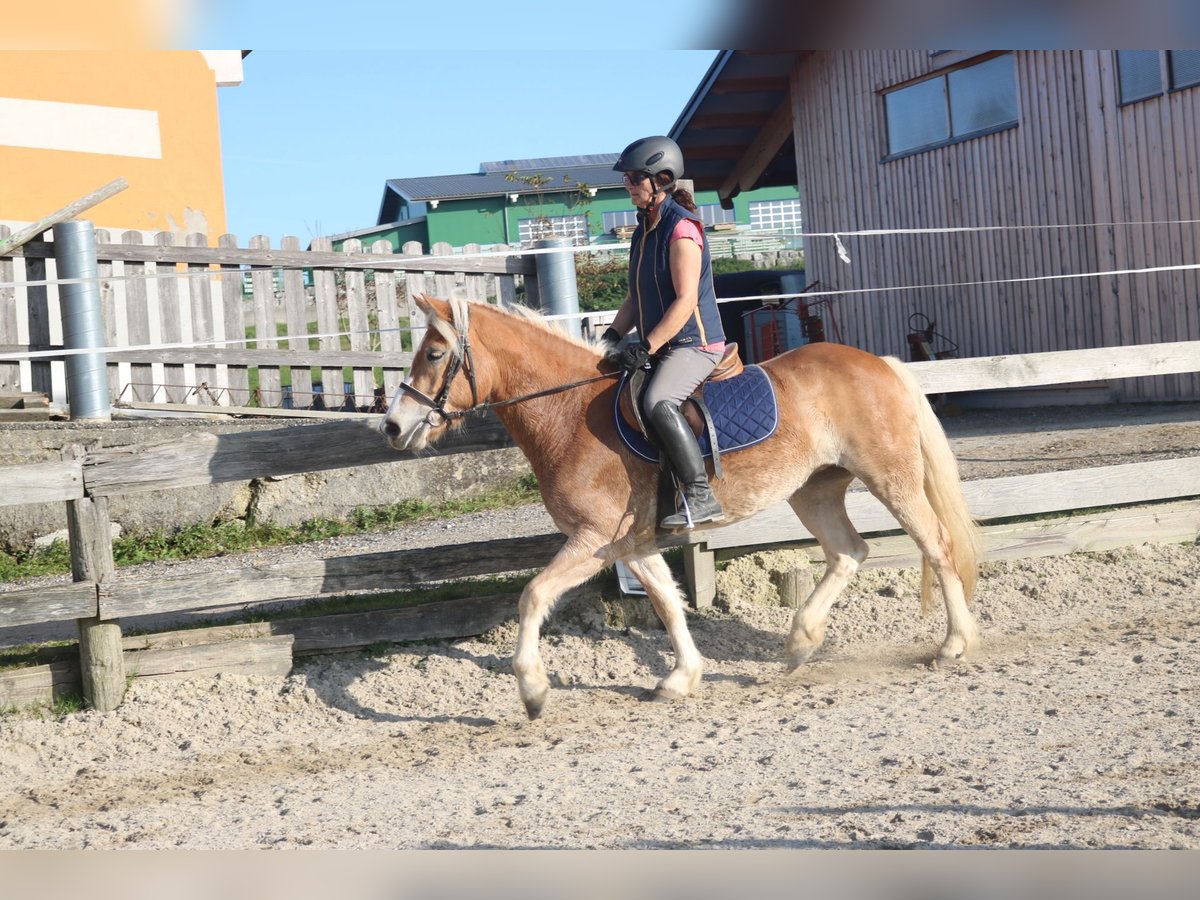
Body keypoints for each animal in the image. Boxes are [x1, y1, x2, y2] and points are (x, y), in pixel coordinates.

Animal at [384, 294, 984, 720]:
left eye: (434, 354)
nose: (392, 427)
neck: (570, 413)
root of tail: (879, 362)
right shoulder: (629, 542)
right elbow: (668, 603)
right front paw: (682, 677)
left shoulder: (592, 540)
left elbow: (532, 595)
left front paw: (532, 690)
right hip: (813, 490)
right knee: (848, 553)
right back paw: (799, 644)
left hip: (891, 478)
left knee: (935, 545)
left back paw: (954, 645)